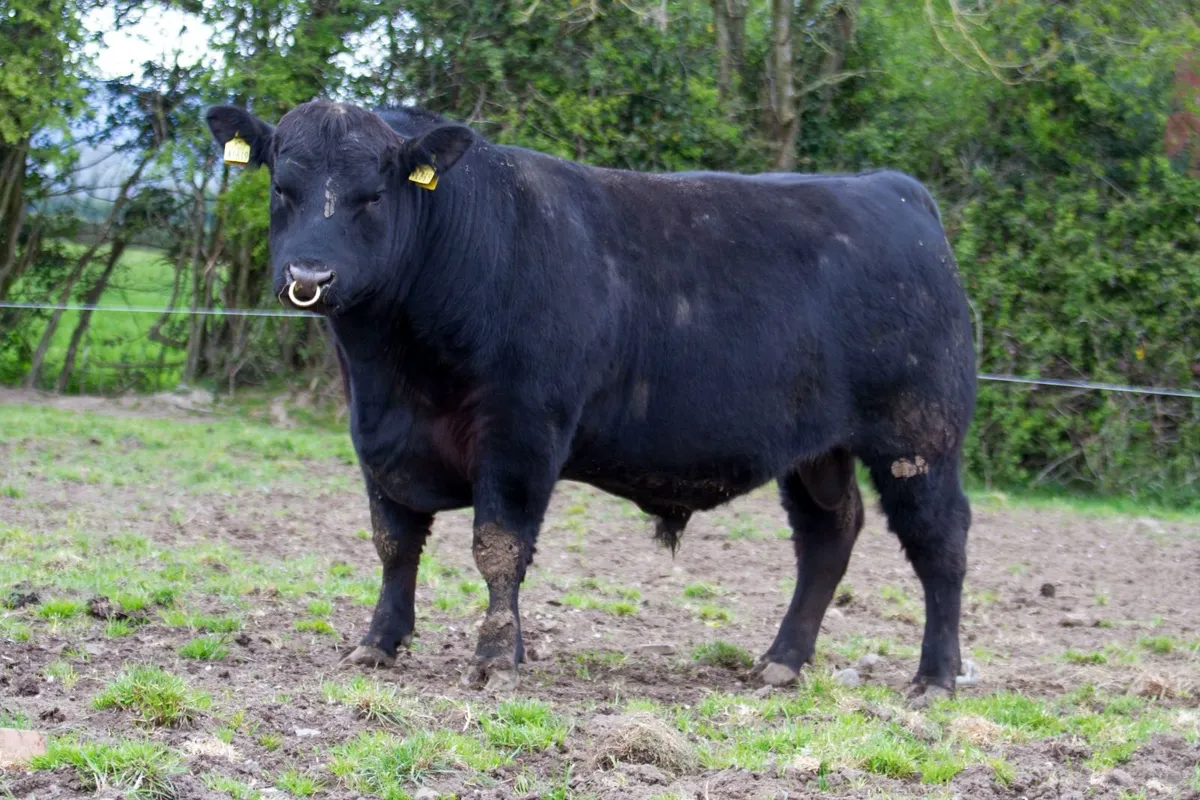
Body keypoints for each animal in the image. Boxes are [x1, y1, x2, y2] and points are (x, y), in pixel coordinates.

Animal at [205, 99, 976, 702]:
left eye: (372, 194)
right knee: (828, 534)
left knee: (940, 542)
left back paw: (934, 678)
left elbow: (497, 547)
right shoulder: (378, 438)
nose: (310, 276)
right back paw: (782, 663)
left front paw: (495, 659)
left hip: (918, 437)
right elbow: (393, 542)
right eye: (283, 187)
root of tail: (893, 189)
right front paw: (379, 642)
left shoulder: (520, 433)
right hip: (817, 447)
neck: (393, 368)